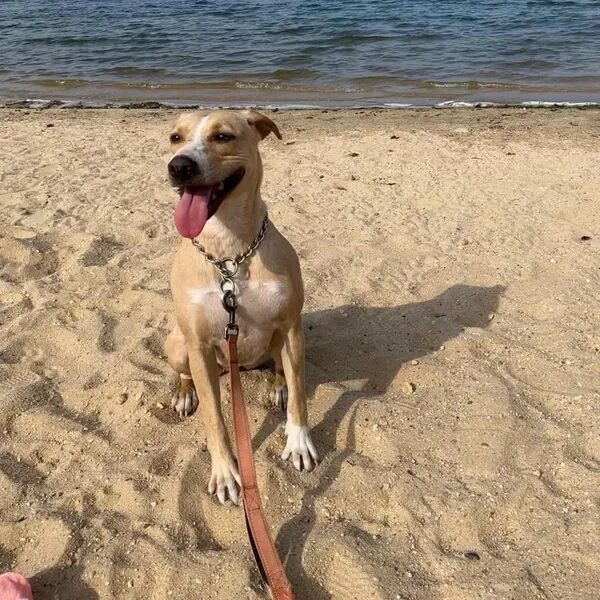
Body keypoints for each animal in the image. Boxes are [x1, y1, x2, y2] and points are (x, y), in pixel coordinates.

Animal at [162, 110, 322, 504]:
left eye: (223, 136)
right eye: (175, 137)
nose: (179, 166)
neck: (230, 252)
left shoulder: (291, 326)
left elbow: (300, 394)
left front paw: (299, 441)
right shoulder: (199, 346)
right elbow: (215, 421)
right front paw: (224, 473)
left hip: (280, 341)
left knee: (282, 370)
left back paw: (278, 385)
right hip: (177, 344)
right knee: (185, 373)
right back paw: (185, 394)